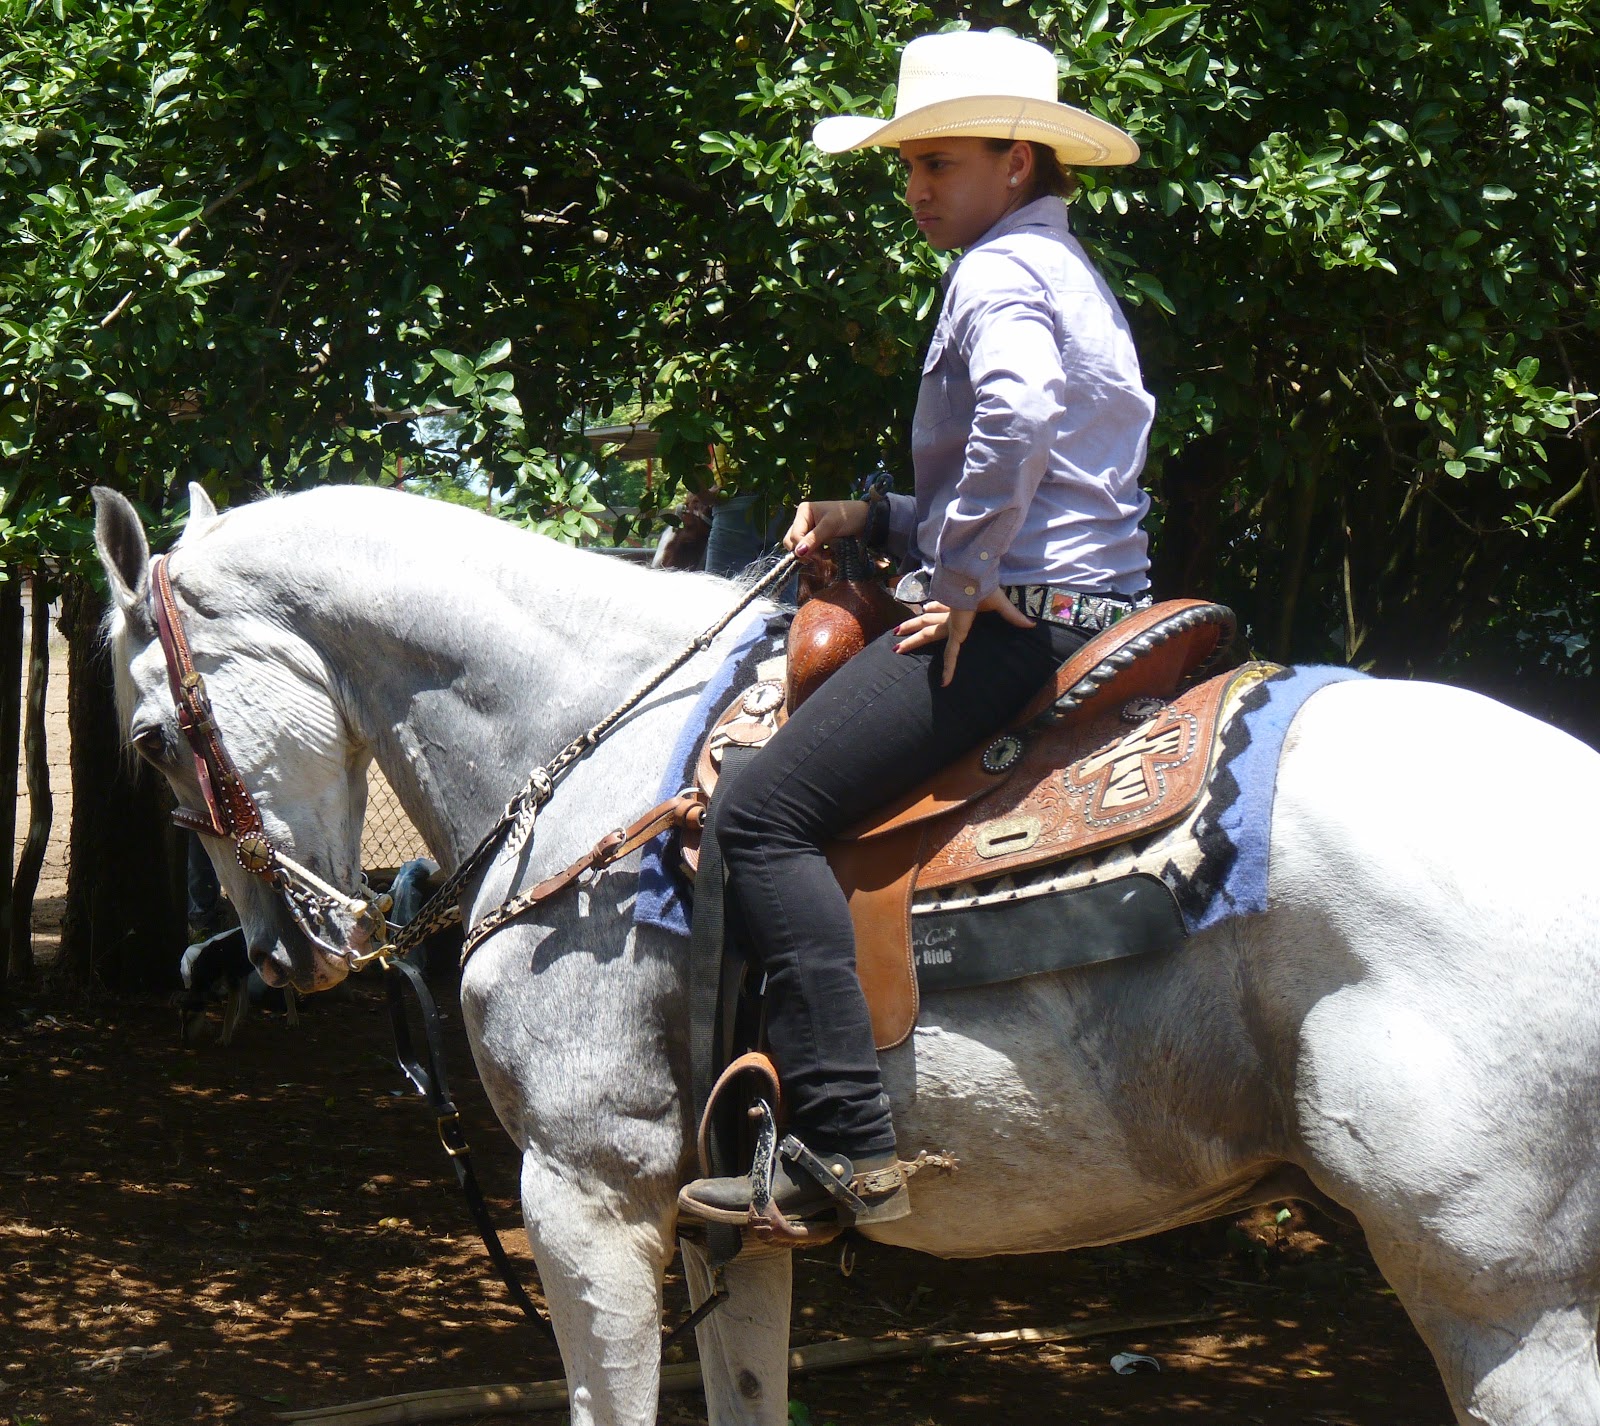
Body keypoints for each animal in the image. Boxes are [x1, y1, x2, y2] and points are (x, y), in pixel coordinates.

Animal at [93, 482, 1600, 1426]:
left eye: (153, 740)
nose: (281, 950)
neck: (598, 740)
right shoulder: (724, 1210)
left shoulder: (585, 1188)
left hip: (1504, 1298)